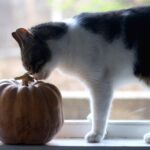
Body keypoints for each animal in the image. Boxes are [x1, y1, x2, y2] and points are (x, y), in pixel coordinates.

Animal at [12, 5, 150, 144]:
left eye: (29, 66)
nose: (34, 77)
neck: (68, 42)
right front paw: (93, 121)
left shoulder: (100, 83)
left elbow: (99, 112)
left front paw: (96, 134)